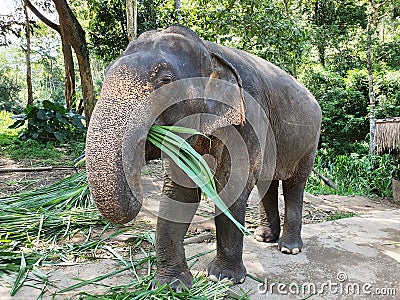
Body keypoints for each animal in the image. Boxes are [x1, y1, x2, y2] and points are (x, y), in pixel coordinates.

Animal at [85, 26, 322, 290]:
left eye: (166, 81)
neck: (209, 52)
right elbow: (180, 192)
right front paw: (171, 285)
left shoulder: (249, 117)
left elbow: (232, 186)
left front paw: (224, 277)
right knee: (266, 183)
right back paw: (264, 237)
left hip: (310, 140)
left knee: (294, 185)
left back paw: (289, 248)